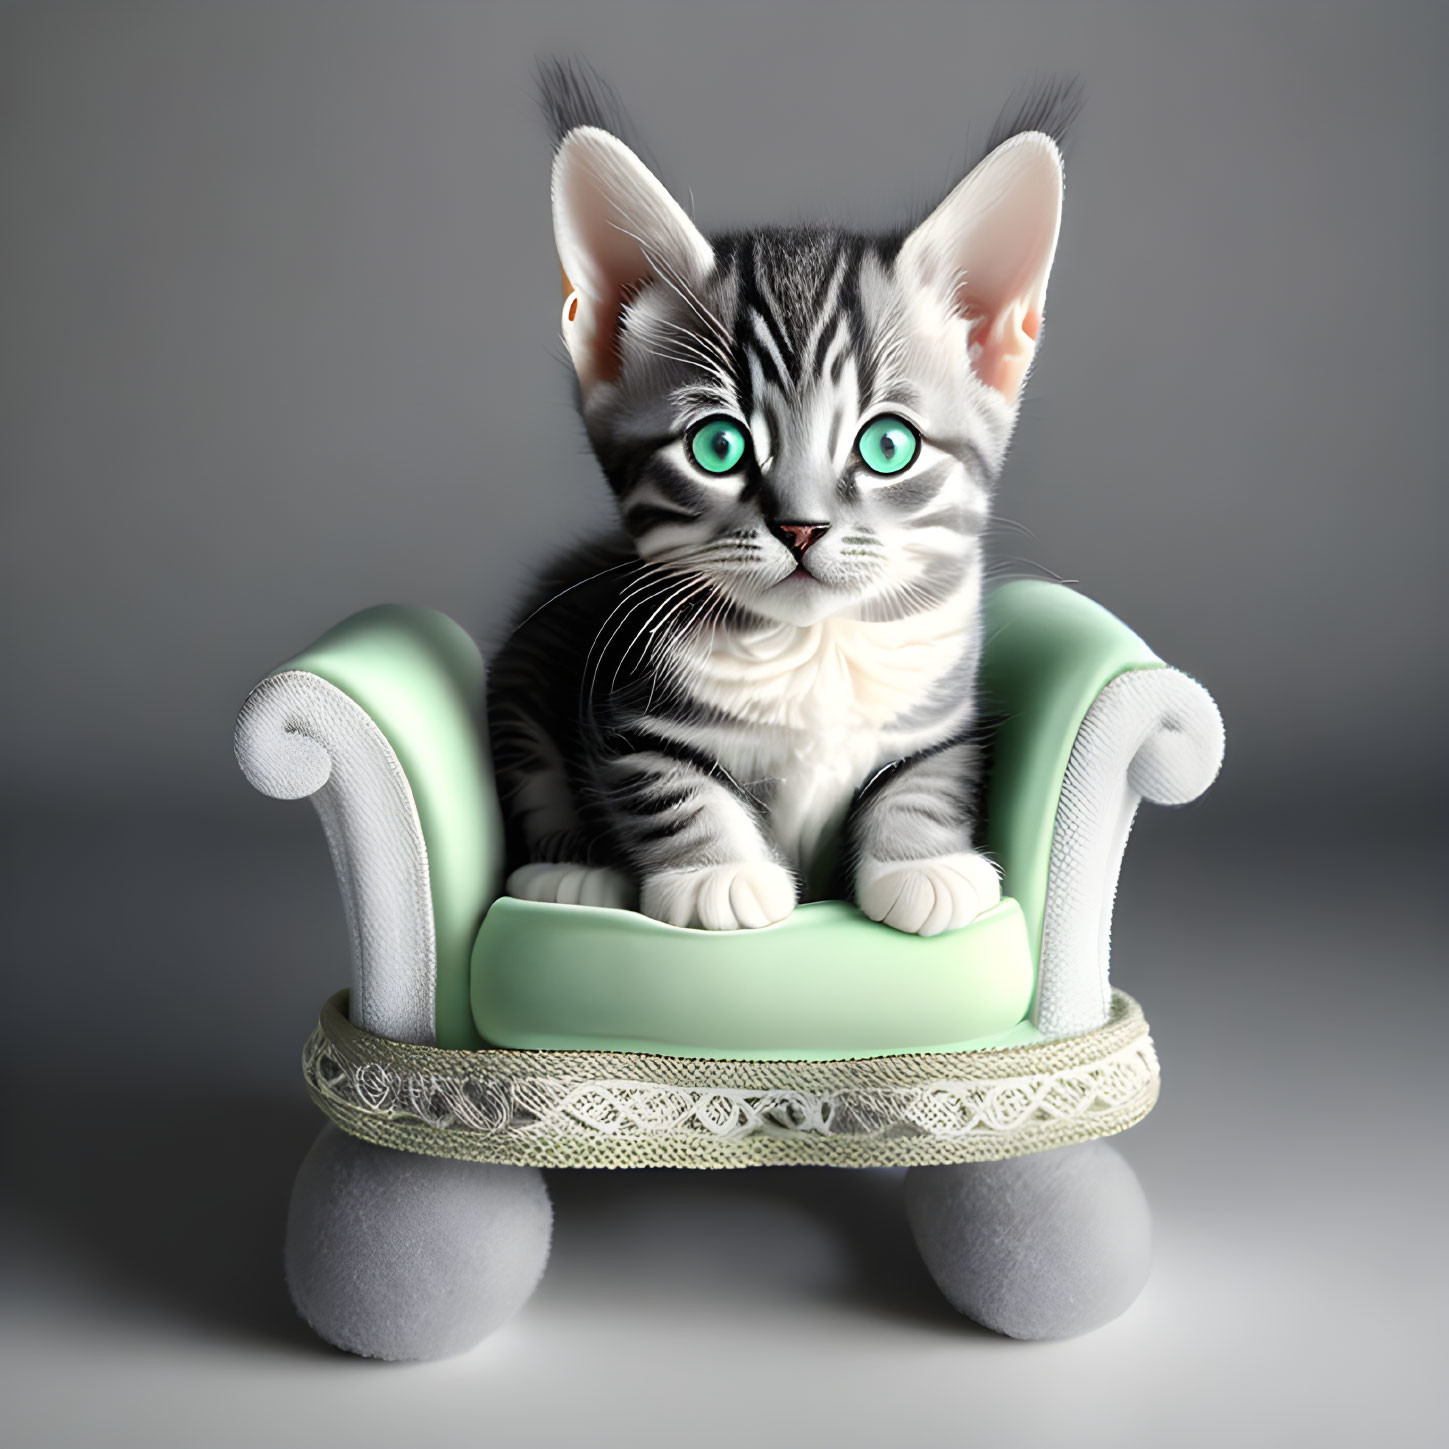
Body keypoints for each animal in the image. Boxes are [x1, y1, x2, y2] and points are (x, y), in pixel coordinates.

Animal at [492, 62, 1072, 933]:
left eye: (887, 446)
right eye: (719, 446)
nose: (801, 527)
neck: (816, 651)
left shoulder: (946, 715)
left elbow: (929, 777)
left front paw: (924, 862)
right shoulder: (624, 708)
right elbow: (669, 784)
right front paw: (719, 873)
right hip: (525, 670)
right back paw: (571, 873)